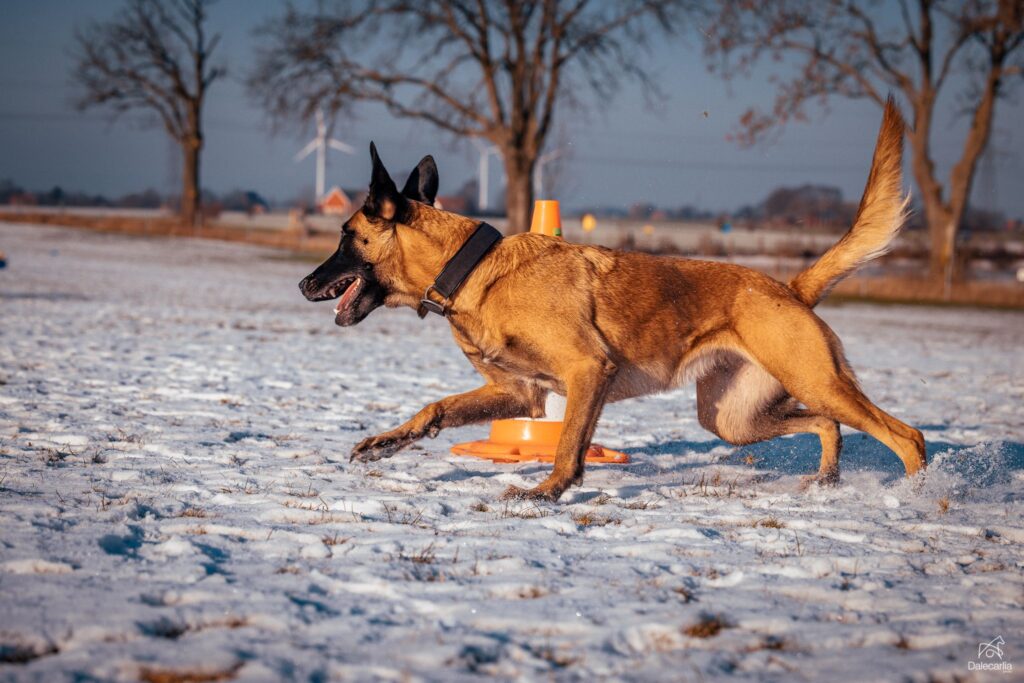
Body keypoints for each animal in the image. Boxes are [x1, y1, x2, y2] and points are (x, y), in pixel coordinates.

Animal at [299, 98, 925, 499]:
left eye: (345, 236)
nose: (304, 284)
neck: (472, 269)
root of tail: (789, 287)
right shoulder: (521, 394)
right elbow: (433, 409)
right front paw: (384, 443)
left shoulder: (586, 371)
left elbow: (567, 444)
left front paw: (548, 492)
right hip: (733, 418)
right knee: (829, 426)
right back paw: (827, 481)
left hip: (815, 382)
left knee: (907, 437)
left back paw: (922, 497)